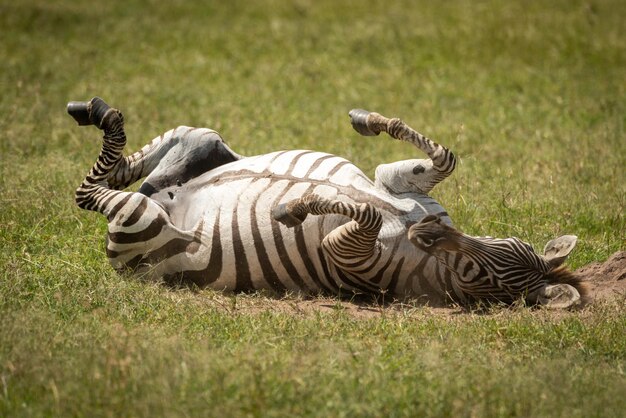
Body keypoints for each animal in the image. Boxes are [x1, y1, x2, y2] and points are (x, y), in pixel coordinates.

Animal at [68, 97, 584, 306]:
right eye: (505, 244)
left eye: (475, 277)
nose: (428, 234)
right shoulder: (398, 183)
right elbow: (443, 157)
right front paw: (365, 119)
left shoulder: (349, 256)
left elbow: (366, 211)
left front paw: (294, 207)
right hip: (197, 139)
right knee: (135, 170)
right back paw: (95, 112)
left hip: (141, 220)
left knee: (91, 194)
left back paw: (103, 120)